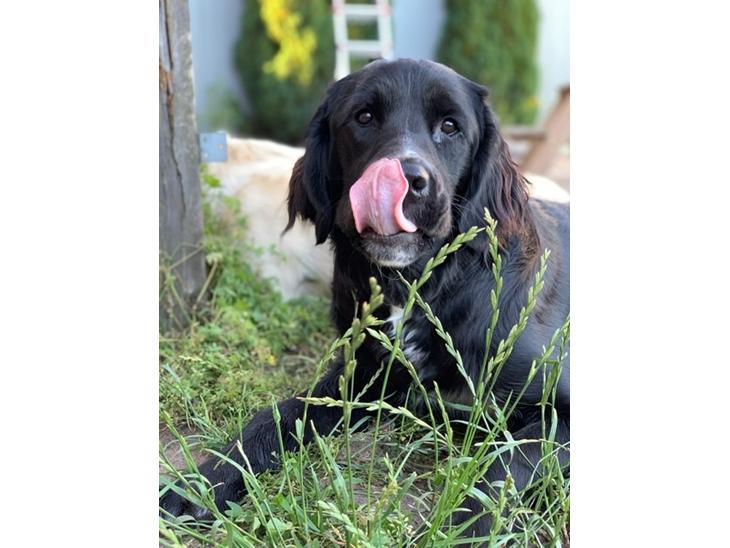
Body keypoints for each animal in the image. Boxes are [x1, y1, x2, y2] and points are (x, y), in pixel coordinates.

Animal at [161, 59, 570, 539]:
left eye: (450, 126)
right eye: (365, 117)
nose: (407, 181)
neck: (415, 288)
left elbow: (506, 465)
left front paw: (464, 530)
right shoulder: (362, 379)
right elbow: (276, 416)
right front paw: (201, 483)